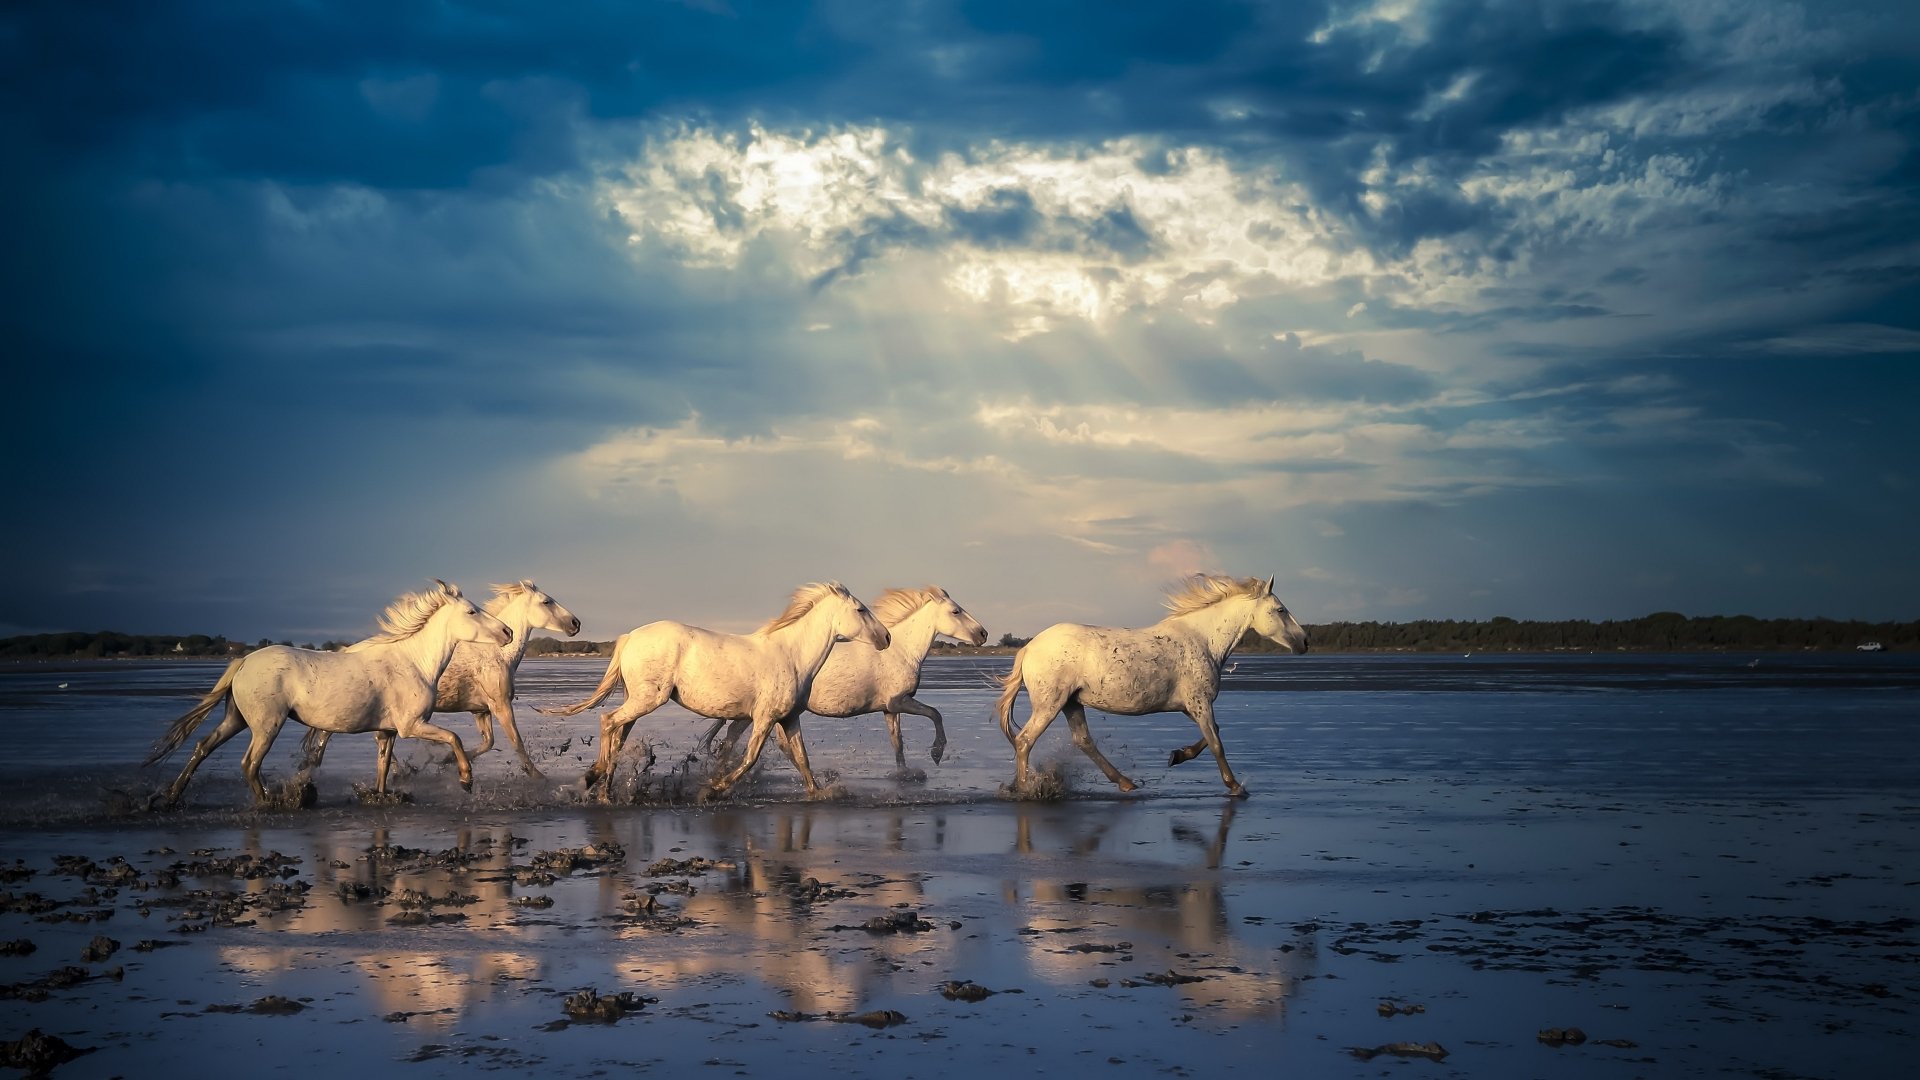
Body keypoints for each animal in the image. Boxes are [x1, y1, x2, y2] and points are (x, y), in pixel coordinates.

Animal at [144, 580, 513, 806]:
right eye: (471, 611)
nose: (508, 632)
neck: (413, 662)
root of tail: (244, 660)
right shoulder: (412, 725)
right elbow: (454, 738)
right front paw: (465, 780)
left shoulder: (388, 731)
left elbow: (383, 767)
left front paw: (379, 796)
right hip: (266, 725)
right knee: (249, 763)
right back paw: (268, 802)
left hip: (236, 719)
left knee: (203, 746)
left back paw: (171, 797)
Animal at [300, 580, 582, 780]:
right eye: (547, 601)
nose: (575, 623)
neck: (496, 654)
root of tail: (345, 651)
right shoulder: (501, 705)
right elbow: (516, 743)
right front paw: (539, 777)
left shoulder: (481, 710)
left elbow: (487, 743)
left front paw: (447, 761)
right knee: (329, 735)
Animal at [540, 582, 891, 802]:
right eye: (860, 610)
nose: (886, 638)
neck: (791, 656)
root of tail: (629, 637)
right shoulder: (764, 718)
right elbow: (749, 758)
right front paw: (712, 790)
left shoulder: (788, 718)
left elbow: (802, 759)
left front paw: (818, 793)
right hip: (647, 699)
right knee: (608, 721)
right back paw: (595, 781)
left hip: (637, 700)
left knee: (619, 733)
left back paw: (603, 787)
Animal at [701, 585, 988, 771]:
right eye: (956, 611)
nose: (983, 634)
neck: (902, 651)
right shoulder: (899, 701)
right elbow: (935, 714)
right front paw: (936, 753)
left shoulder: (889, 709)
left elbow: (898, 743)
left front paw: (905, 774)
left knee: (732, 737)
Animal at [995, 574, 1307, 797]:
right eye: (1280, 609)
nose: (1304, 641)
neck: (1203, 641)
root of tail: (1029, 647)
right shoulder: (1200, 702)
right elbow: (1217, 743)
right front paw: (1235, 786)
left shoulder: (1191, 706)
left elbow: (1213, 734)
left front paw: (1177, 756)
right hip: (1050, 704)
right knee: (1024, 740)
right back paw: (1024, 789)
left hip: (1071, 703)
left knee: (1082, 740)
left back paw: (1125, 782)